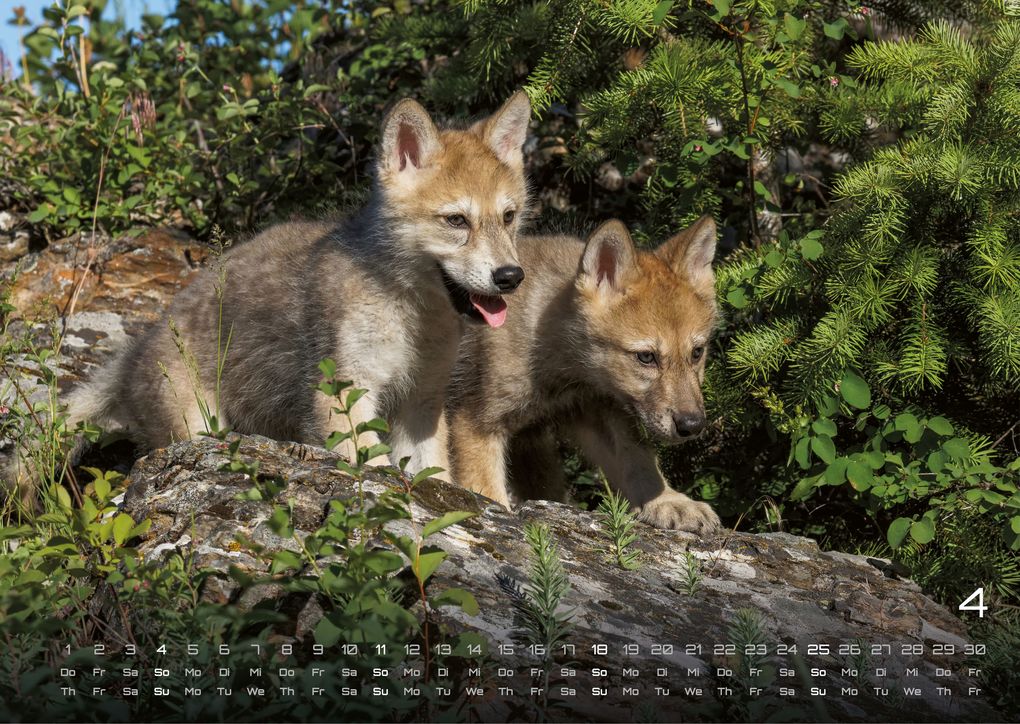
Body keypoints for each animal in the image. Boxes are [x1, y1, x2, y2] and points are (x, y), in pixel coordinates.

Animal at [14, 93, 532, 490]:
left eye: (508, 217)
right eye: (456, 221)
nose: (511, 277)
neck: (408, 310)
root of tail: (133, 352)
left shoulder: (420, 406)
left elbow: (436, 477)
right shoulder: (342, 398)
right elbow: (375, 464)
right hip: (196, 429)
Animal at [446, 217, 721, 532]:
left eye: (697, 353)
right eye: (646, 357)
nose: (693, 425)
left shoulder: (597, 409)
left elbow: (640, 461)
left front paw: (670, 502)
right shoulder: (476, 425)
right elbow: (488, 492)